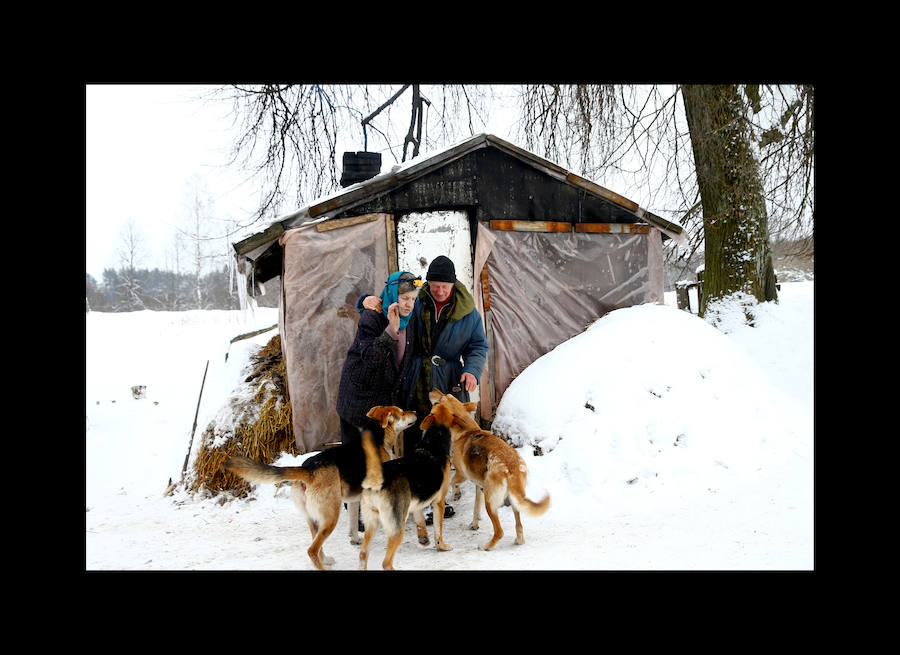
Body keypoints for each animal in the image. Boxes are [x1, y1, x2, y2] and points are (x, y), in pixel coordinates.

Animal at [223, 408, 414, 572]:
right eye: (402, 412)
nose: (415, 411)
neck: (378, 435)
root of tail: (308, 469)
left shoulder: (354, 499)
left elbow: (353, 522)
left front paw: (355, 539)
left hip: (315, 519)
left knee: (316, 544)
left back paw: (326, 560)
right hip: (331, 516)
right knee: (312, 550)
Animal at [428, 392, 548, 552]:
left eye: (440, 400)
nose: (432, 391)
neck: (467, 430)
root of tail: (511, 466)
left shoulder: (462, 473)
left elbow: (454, 482)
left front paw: (456, 494)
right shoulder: (479, 485)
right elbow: (475, 507)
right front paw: (474, 523)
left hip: (490, 503)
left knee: (499, 531)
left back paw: (486, 546)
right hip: (512, 500)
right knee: (519, 526)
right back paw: (518, 540)